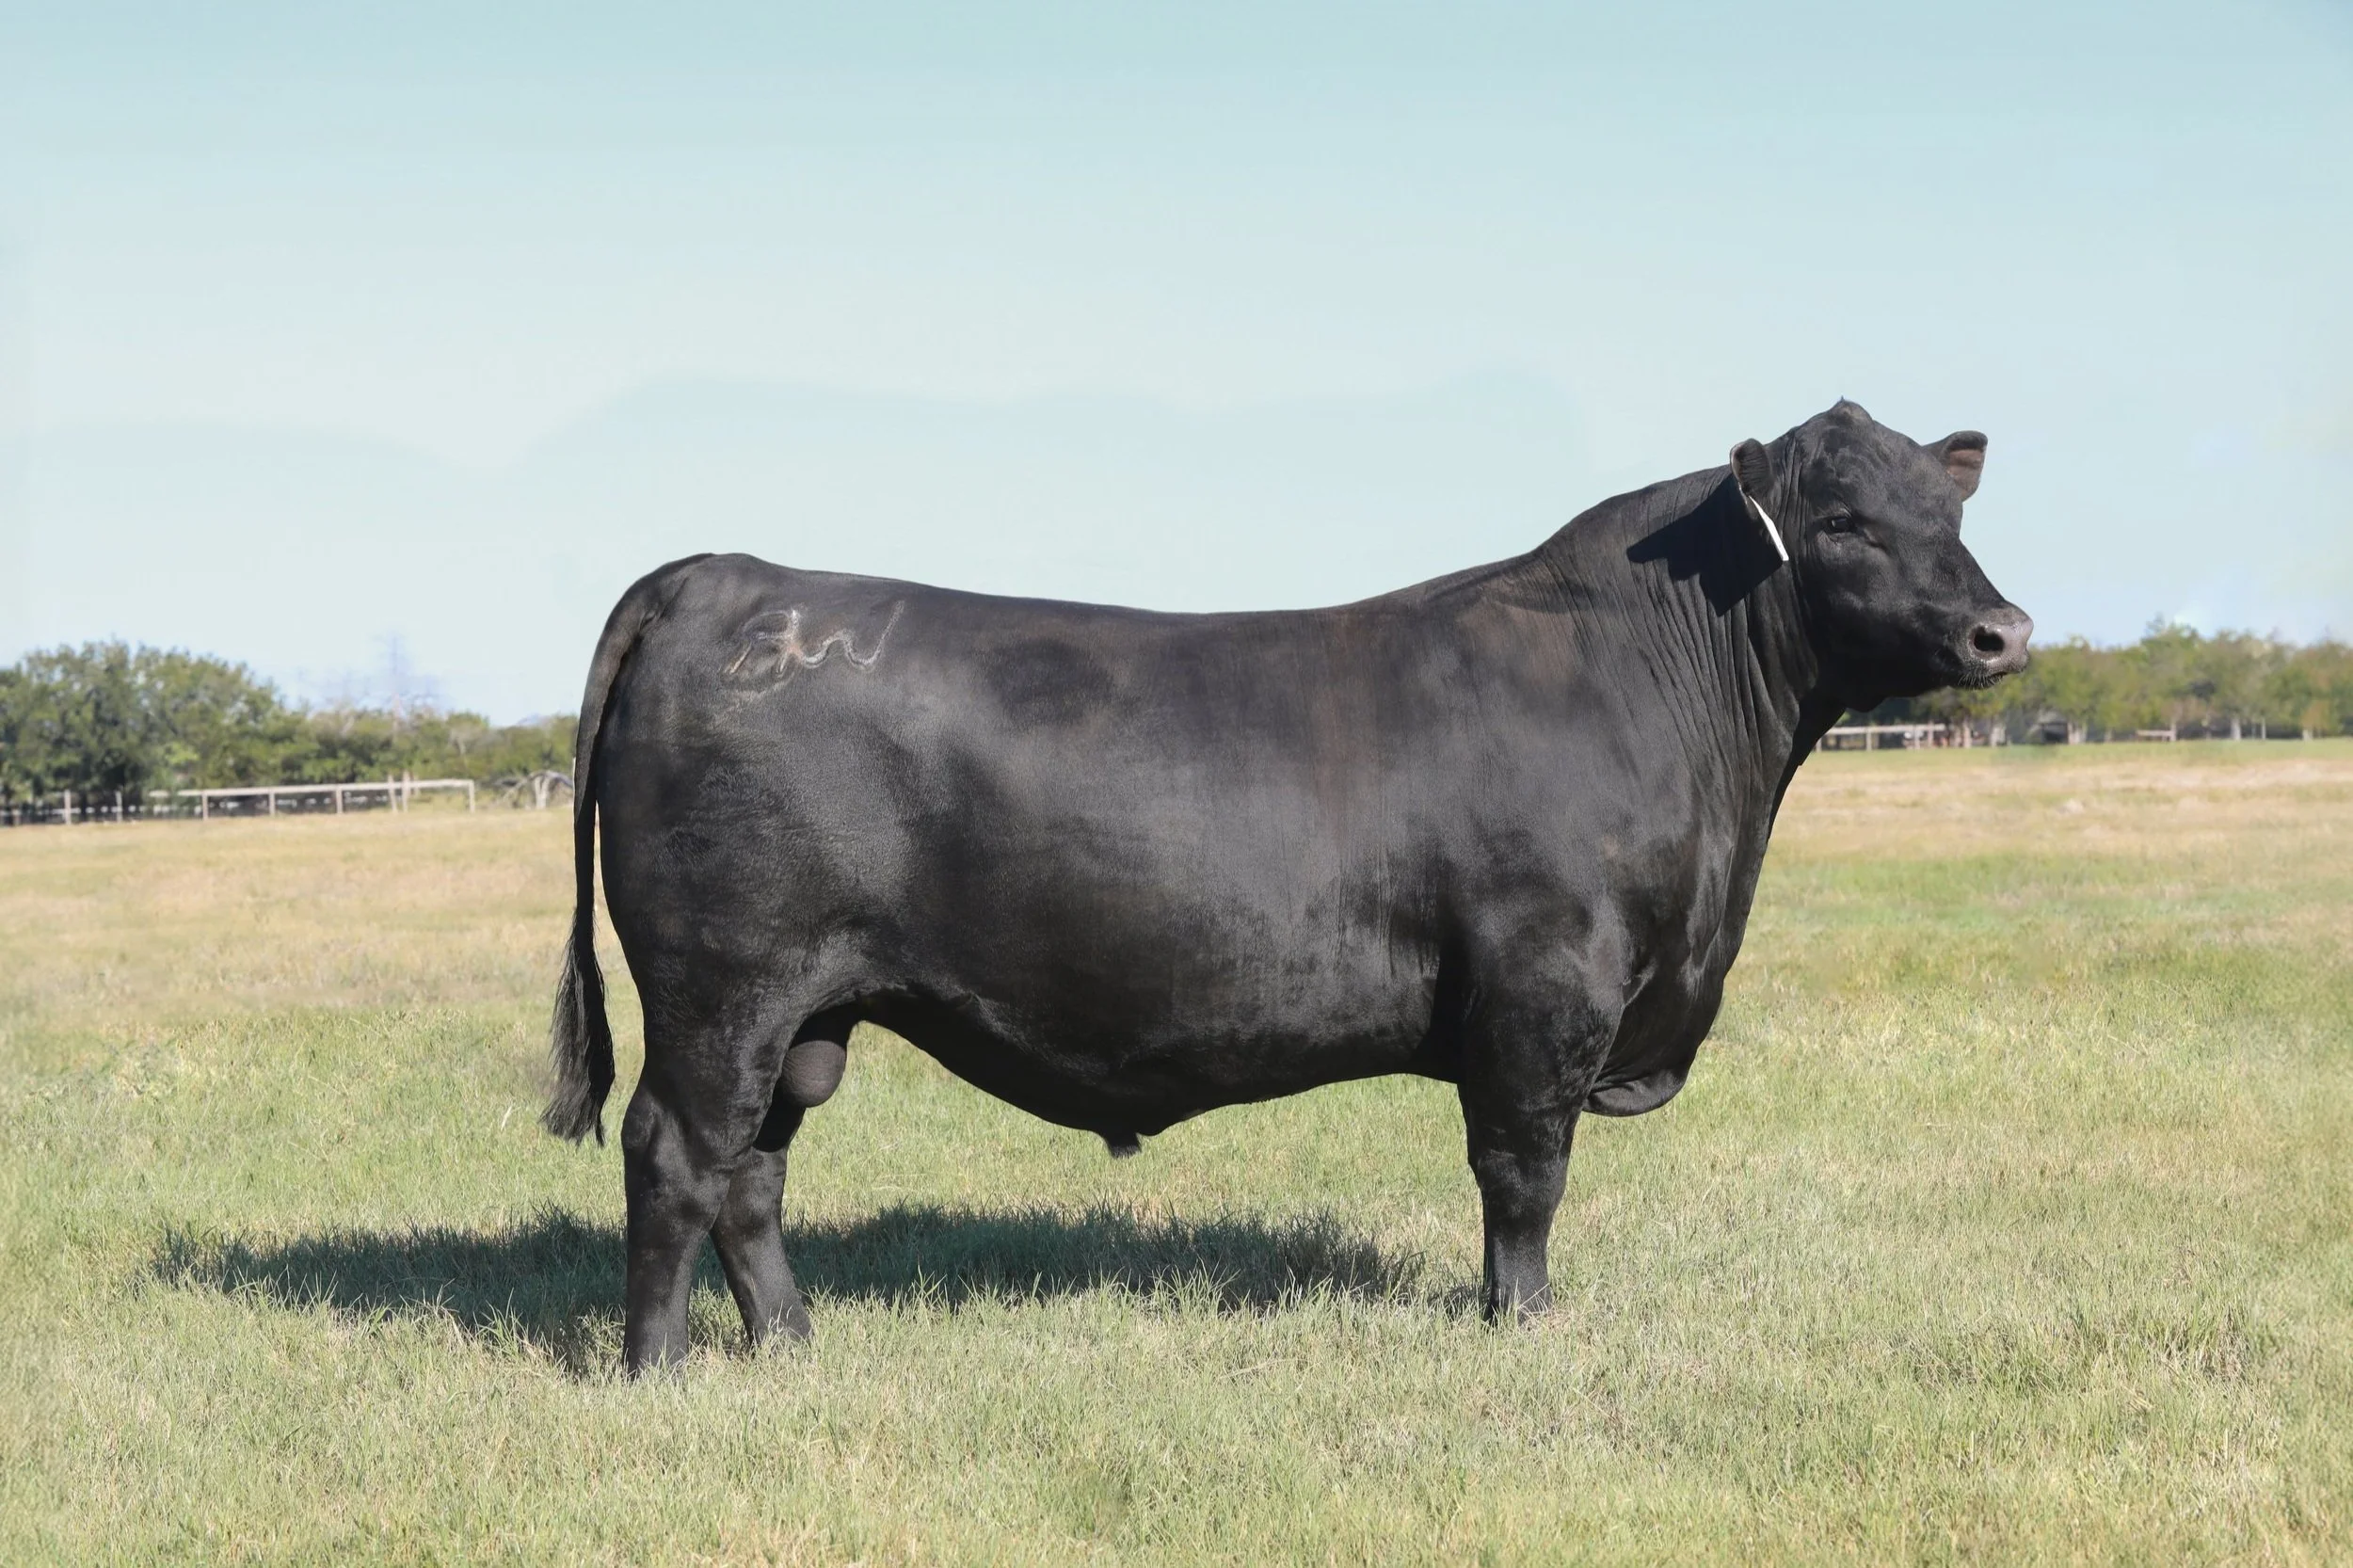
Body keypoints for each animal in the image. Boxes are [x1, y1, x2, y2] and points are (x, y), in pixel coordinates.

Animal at [542, 398, 2031, 1373]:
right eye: (1840, 519)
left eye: (1951, 510)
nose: (2000, 630)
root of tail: (723, 574)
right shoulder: (1546, 989)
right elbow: (1523, 1174)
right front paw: (1523, 1322)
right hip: (722, 988)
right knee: (674, 1151)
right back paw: (657, 1368)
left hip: (807, 1011)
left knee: (752, 1171)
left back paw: (794, 1342)